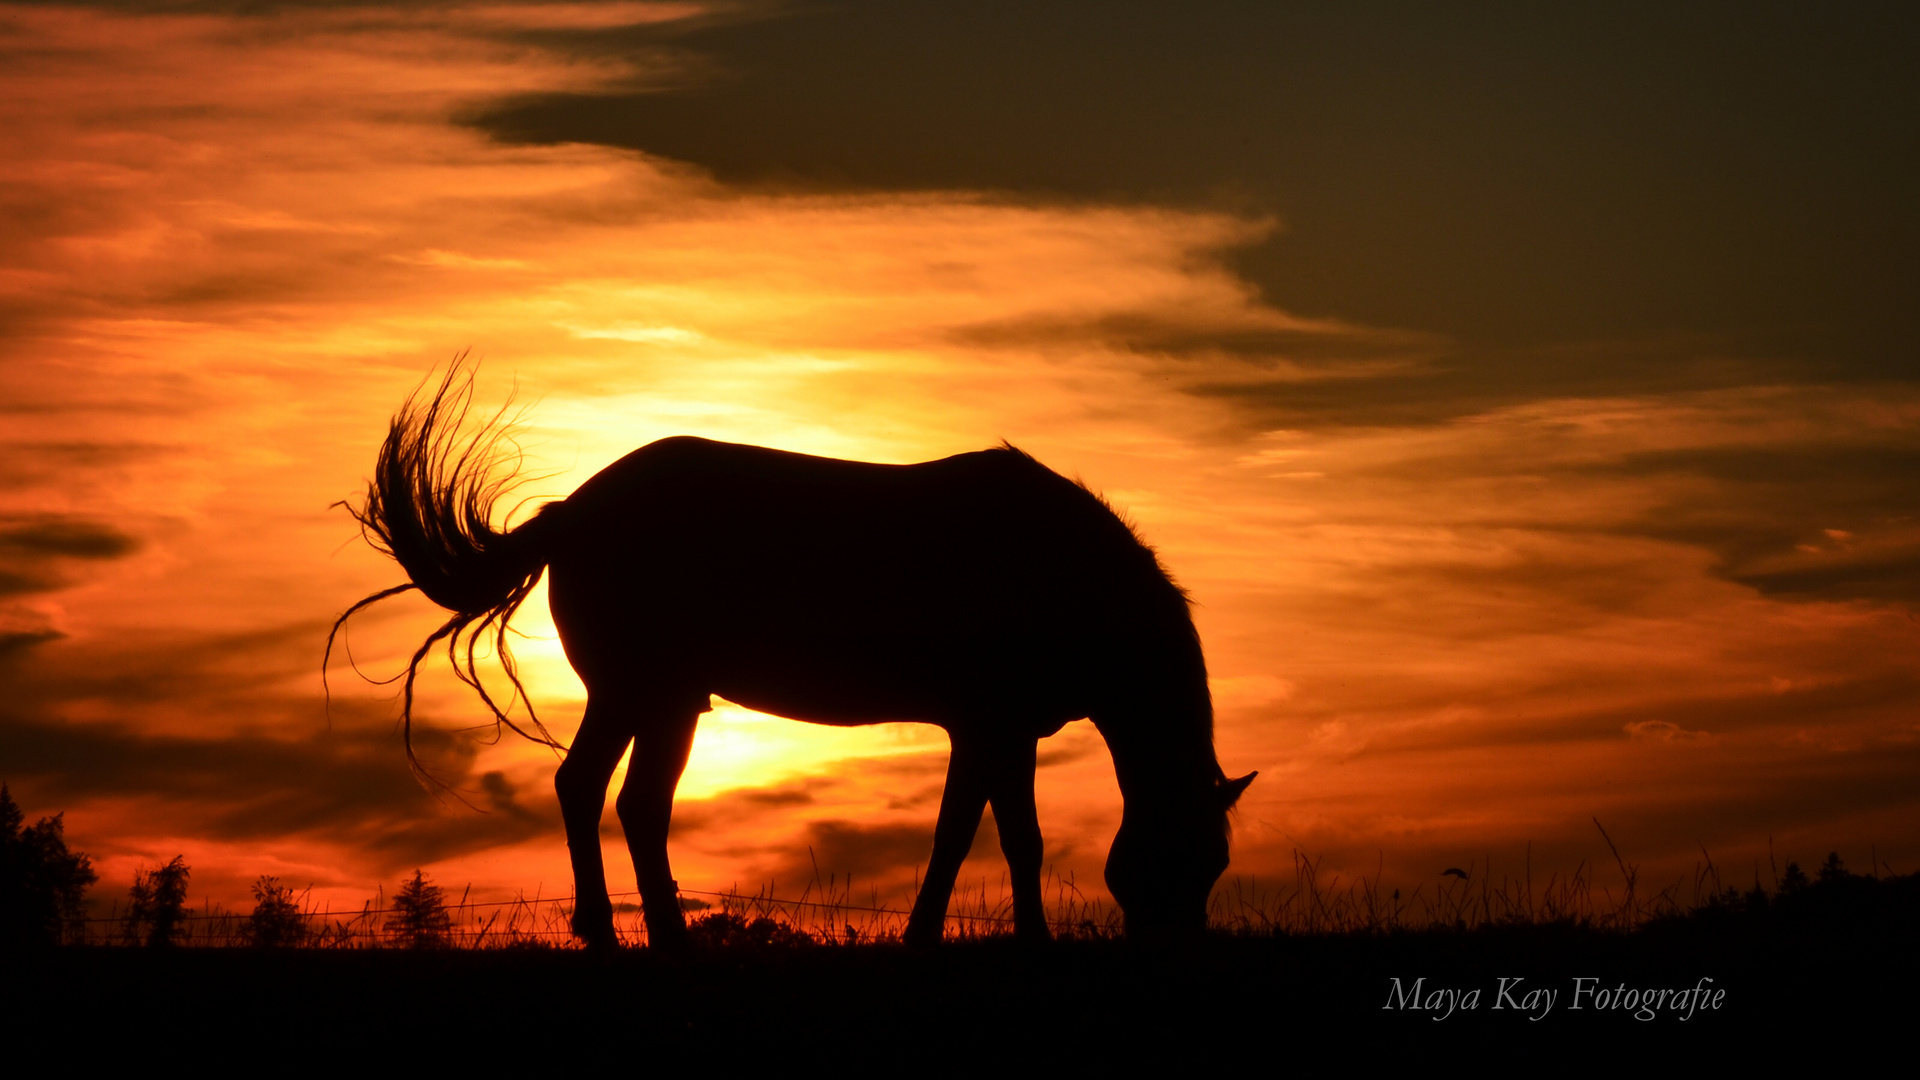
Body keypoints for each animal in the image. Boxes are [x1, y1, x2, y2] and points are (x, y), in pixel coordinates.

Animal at [334, 365, 1259, 945]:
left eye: (1218, 862)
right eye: (1187, 855)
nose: (1177, 947)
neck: (1062, 570)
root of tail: (576, 510)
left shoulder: (990, 731)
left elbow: (973, 835)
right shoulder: (991, 726)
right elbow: (1001, 838)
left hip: (655, 699)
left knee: (608, 795)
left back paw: (630, 933)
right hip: (644, 692)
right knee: (611, 797)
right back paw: (646, 937)